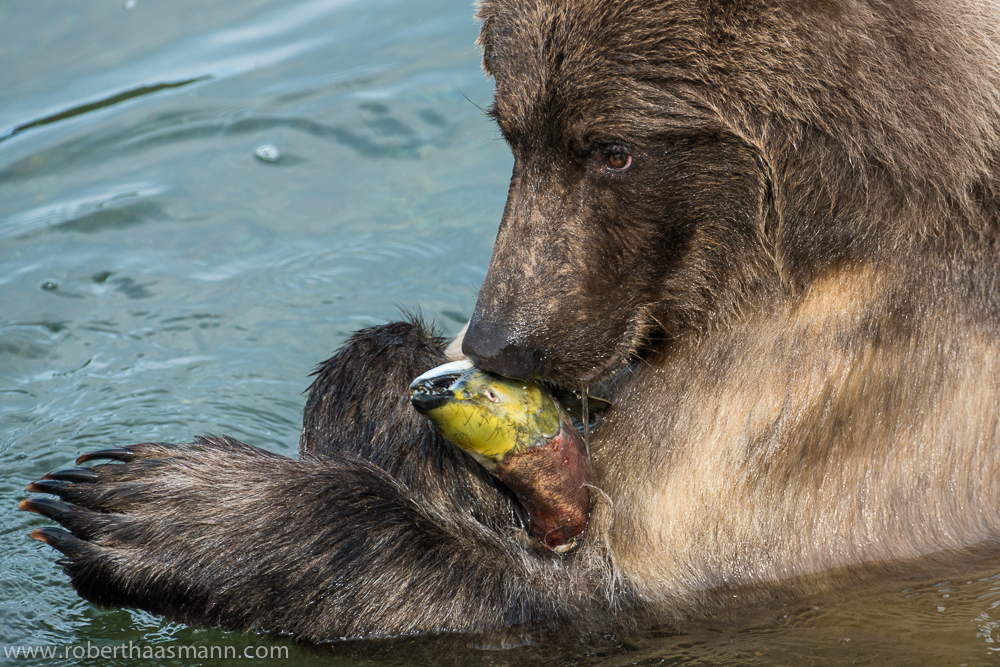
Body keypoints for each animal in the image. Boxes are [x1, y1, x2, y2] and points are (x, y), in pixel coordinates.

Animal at [19, 0, 1000, 644]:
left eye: (615, 149)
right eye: (511, 128)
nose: (497, 339)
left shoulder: (848, 408)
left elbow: (583, 595)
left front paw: (138, 505)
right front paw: (389, 384)